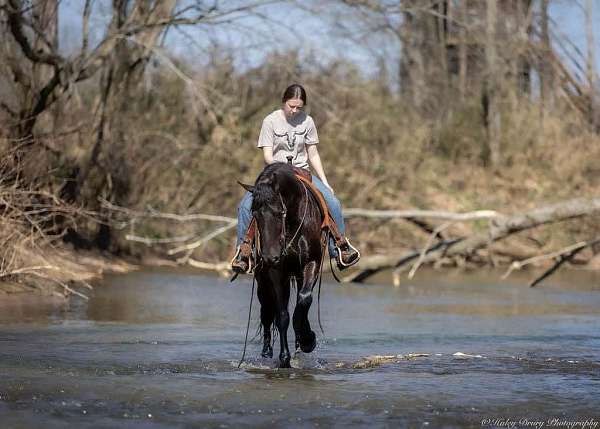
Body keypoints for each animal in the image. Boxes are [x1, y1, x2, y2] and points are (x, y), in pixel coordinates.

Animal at [239, 162, 326, 366]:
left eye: (280, 212)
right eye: (254, 213)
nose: (270, 257)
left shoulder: (312, 262)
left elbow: (304, 300)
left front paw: (307, 339)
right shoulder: (277, 272)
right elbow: (282, 315)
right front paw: (284, 358)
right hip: (263, 281)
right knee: (266, 311)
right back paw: (267, 350)